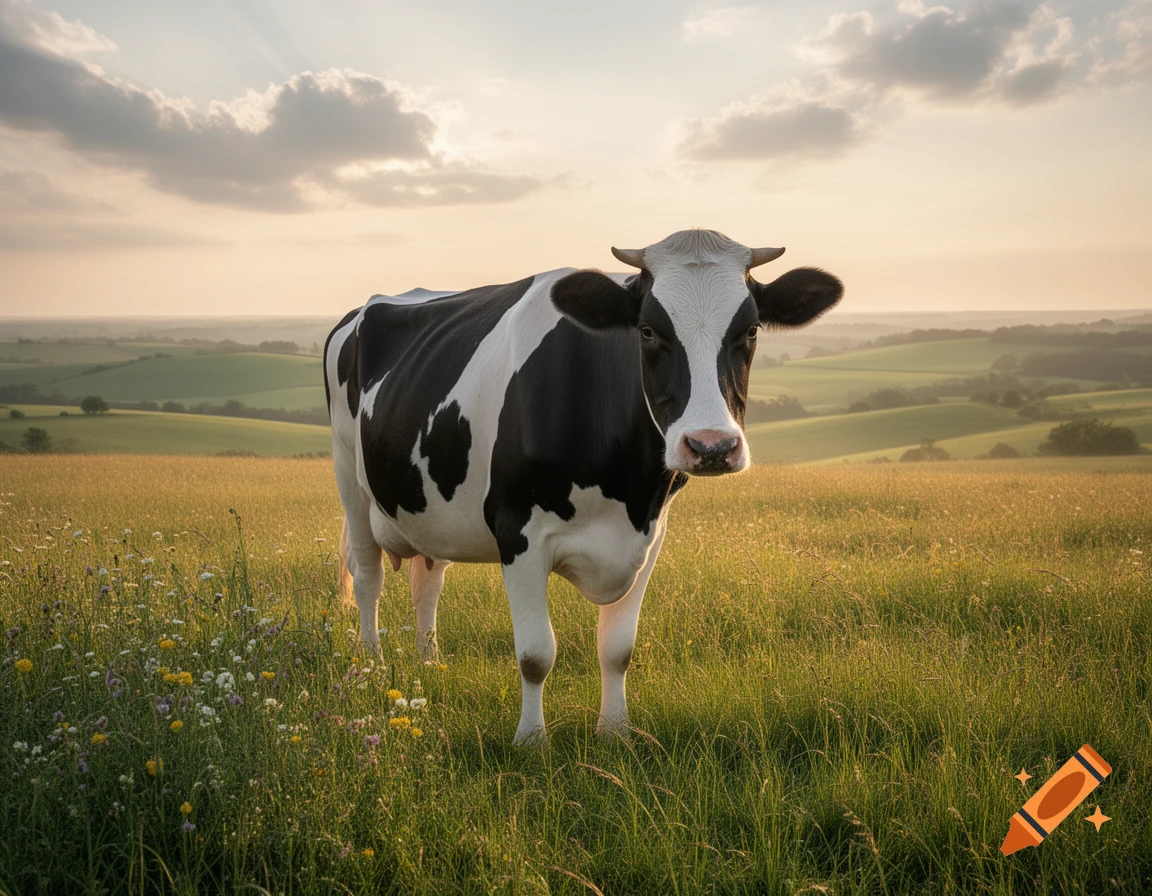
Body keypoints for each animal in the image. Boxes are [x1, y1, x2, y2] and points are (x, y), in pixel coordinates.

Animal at [324, 229, 842, 744]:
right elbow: (535, 654)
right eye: (648, 330)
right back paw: (372, 666)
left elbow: (618, 648)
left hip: (428, 506)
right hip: (349, 476)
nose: (711, 446)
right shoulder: (518, 531)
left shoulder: (650, 535)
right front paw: (531, 742)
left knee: (427, 580)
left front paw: (614, 733)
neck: (624, 490)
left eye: (750, 331)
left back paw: (430, 664)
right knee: (367, 576)